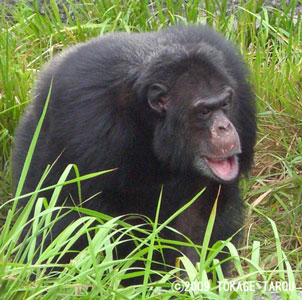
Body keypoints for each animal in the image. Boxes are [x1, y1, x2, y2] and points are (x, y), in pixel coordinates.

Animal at [13, 25, 256, 278]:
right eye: (204, 111)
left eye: (225, 103)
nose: (224, 126)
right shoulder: (88, 118)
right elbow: (80, 216)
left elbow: (198, 216)